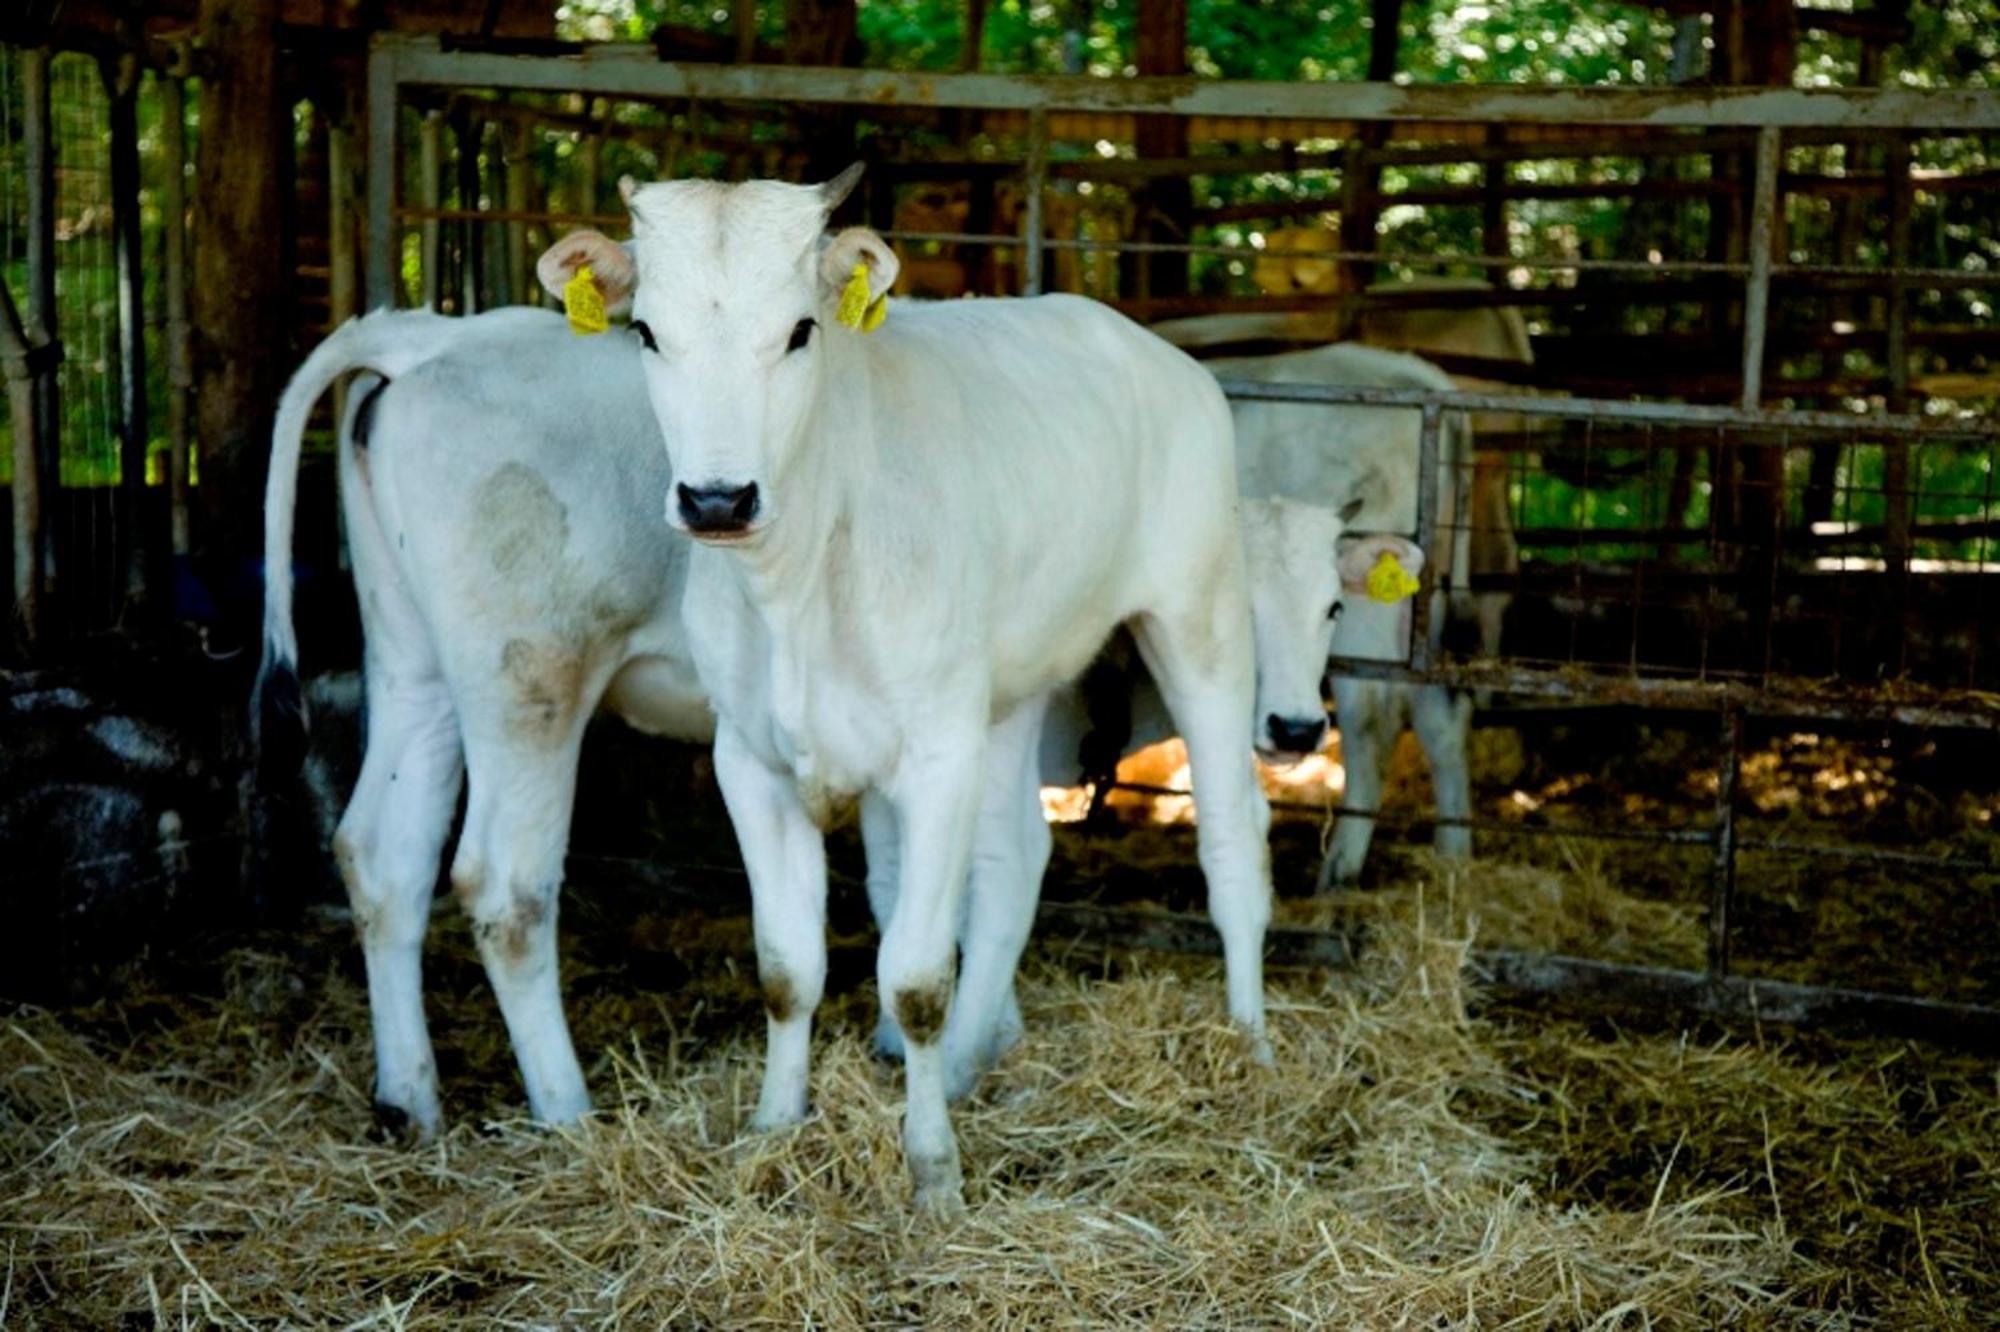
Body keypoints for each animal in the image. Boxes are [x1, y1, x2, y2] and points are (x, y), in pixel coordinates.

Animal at [540, 169, 1272, 1216]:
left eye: (802, 330)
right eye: (645, 332)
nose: (717, 499)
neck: (799, 586)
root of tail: (1149, 347)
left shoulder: (934, 755)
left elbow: (917, 979)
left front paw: (933, 1171)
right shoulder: (750, 760)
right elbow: (786, 968)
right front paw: (773, 1130)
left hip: (1199, 612)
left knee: (1231, 836)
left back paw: (1250, 1043)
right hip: (1005, 692)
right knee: (1017, 858)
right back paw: (969, 1065)